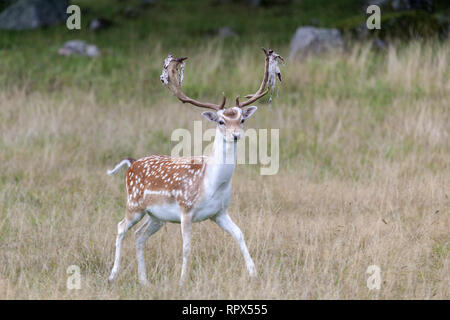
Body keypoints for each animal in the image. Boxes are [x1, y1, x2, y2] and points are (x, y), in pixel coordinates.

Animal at [107, 48, 284, 284]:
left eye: (242, 120)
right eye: (221, 121)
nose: (236, 135)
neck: (211, 183)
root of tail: (131, 163)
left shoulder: (219, 212)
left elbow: (239, 234)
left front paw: (254, 273)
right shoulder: (186, 209)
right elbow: (187, 247)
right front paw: (182, 280)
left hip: (156, 216)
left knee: (139, 235)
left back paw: (144, 280)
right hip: (134, 204)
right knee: (120, 228)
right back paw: (112, 276)